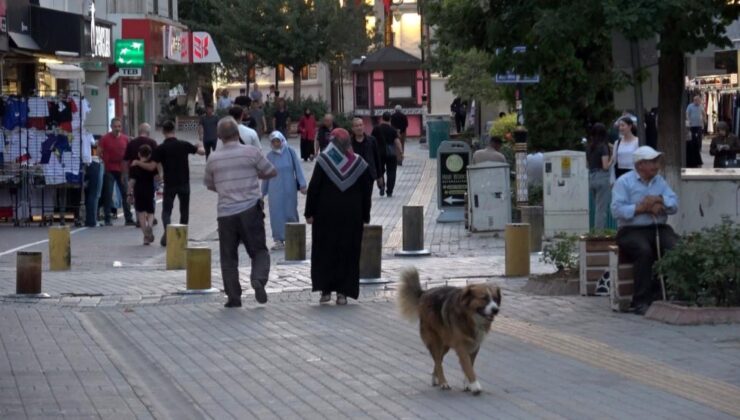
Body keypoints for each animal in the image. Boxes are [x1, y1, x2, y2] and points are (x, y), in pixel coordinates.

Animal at [398, 268, 502, 396]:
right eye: (484, 298)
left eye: (496, 299)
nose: (496, 310)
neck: (470, 317)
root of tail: (424, 293)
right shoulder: (462, 347)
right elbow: (468, 367)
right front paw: (475, 385)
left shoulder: (474, 346)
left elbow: (469, 365)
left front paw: (468, 384)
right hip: (435, 340)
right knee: (438, 361)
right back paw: (443, 382)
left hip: (445, 344)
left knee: (438, 361)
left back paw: (436, 379)